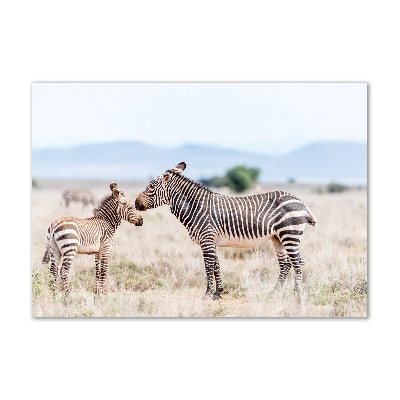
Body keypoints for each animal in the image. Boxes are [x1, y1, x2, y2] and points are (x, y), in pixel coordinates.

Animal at [136, 162, 318, 300]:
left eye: (151, 187)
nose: (136, 204)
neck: (195, 207)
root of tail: (301, 201)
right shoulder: (211, 241)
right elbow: (216, 265)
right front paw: (218, 293)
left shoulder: (207, 238)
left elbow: (209, 265)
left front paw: (207, 294)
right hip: (277, 237)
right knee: (285, 264)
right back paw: (274, 292)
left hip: (290, 234)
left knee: (298, 262)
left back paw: (296, 293)